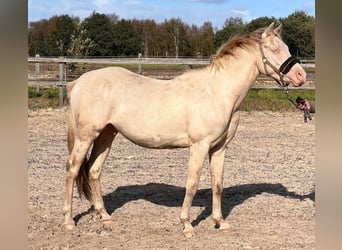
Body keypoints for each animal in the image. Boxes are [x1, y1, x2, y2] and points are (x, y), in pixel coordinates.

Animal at [63, 22, 308, 237]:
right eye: (275, 49)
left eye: (286, 47)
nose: (301, 76)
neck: (217, 92)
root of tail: (78, 83)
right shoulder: (199, 146)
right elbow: (192, 183)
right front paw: (187, 225)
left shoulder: (219, 148)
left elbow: (217, 184)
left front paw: (220, 222)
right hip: (86, 136)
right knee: (73, 170)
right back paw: (68, 221)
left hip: (106, 134)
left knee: (94, 170)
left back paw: (104, 216)